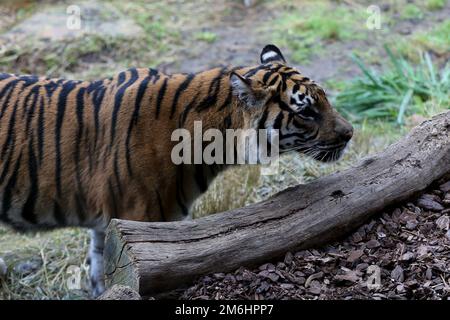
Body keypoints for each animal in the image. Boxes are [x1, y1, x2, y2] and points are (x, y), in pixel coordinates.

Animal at [0, 43, 352, 296]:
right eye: (306, 111)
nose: (349, 133)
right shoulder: (139, 223)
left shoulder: (107, 226)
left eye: (324, 98)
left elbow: (100, 270)